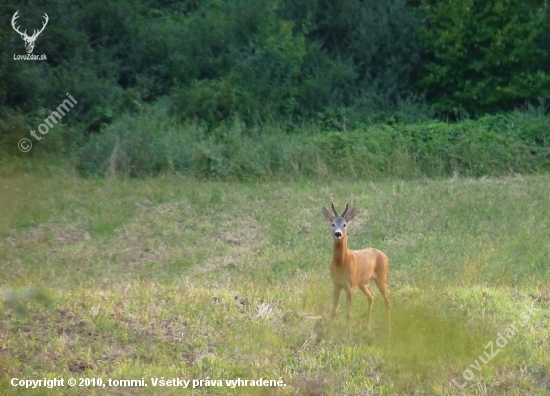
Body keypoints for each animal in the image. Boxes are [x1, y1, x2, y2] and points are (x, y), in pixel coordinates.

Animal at [324, 200, 392, 336]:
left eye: (344, 224)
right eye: (332, 224)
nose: (338, 234)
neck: (341, 263)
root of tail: (384, 255)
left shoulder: (350, 285)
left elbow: (348, 313)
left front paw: (347, 335)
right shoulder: (336, 284)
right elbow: (333, 311)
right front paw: (327, 333)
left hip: (381, 277)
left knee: (387, 298)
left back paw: (388, 329)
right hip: (363, 283)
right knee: (371, 296)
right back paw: (367, 327)